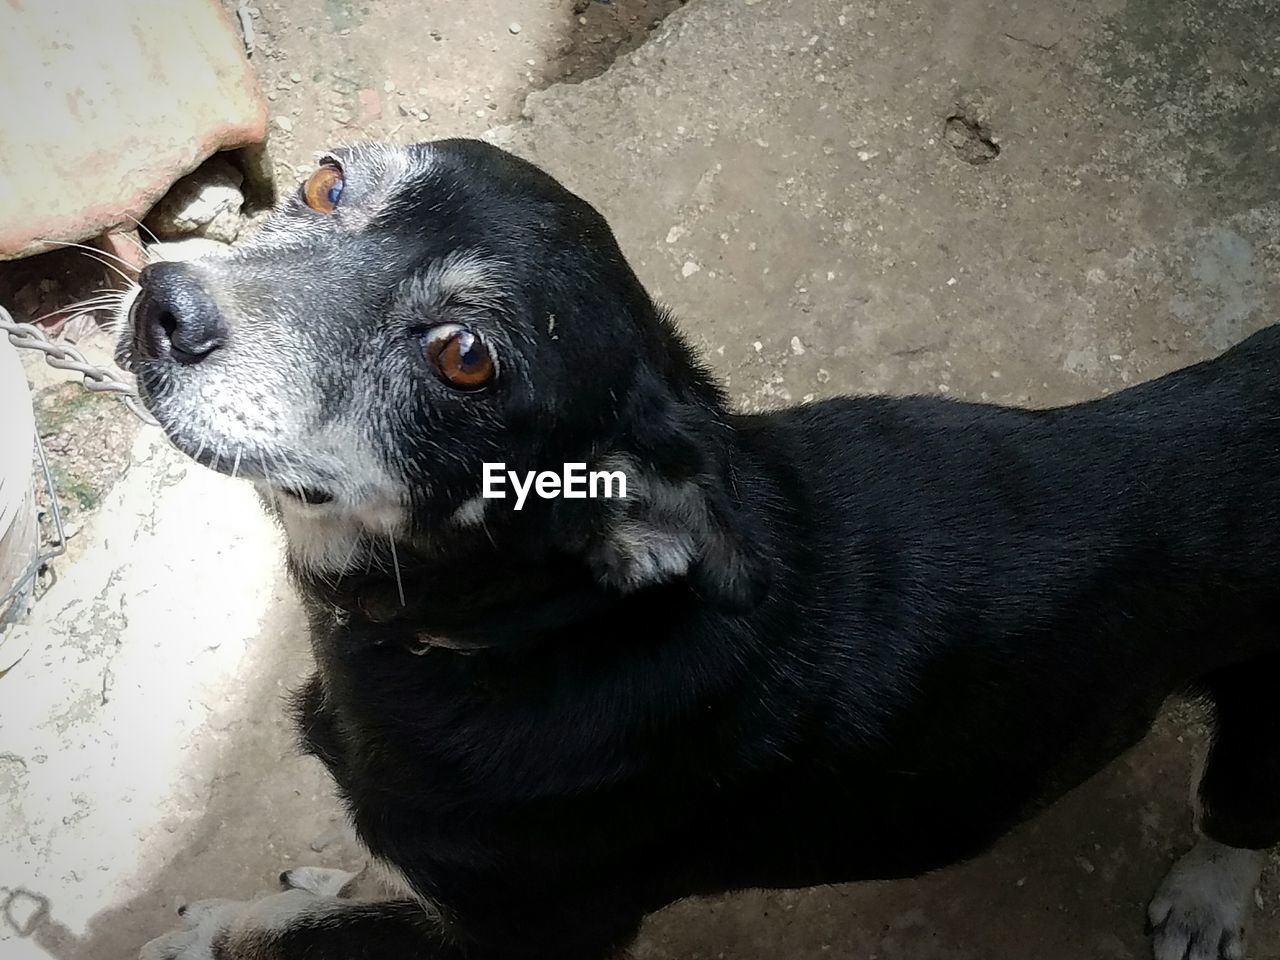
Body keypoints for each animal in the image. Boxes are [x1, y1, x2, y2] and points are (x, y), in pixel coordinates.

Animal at [117, 140, 1269, 960]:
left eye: (465, 358)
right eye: (323, 183)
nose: (165, 302)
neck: (515, 635)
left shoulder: (529, 939)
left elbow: (324, 934)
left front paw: (209, 936)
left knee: (1236, 814)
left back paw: (1206, 897)